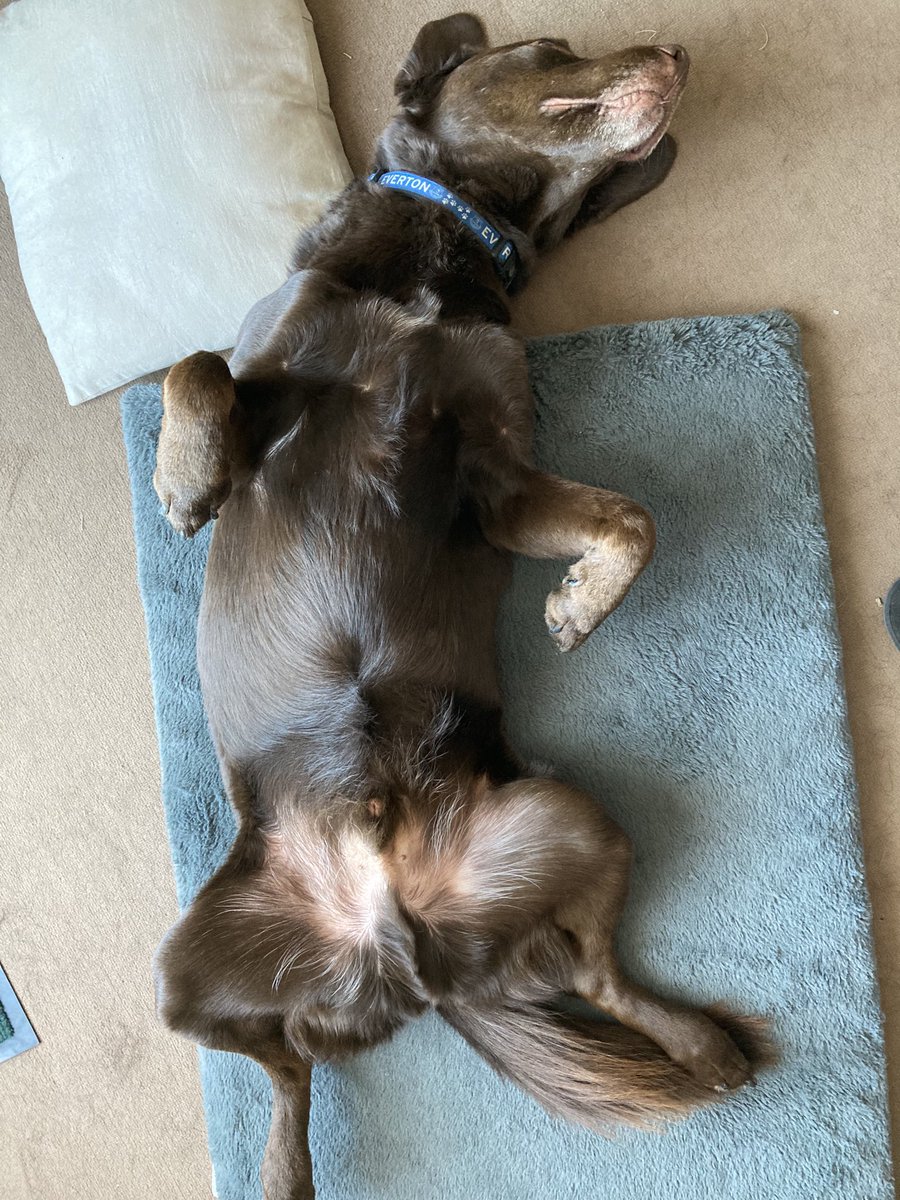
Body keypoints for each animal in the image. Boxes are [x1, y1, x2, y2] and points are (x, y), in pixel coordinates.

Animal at [151, 21, 772, 1200]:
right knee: (288, 1067)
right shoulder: (281, 382)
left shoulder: (497, 479)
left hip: (573, 820)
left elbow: (633, 519)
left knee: (590, 976)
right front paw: (185, 479)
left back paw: (703, 1046)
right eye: (552, 47)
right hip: (176, 973)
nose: (678, 50)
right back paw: (280, 1170)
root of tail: (413, 954)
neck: (440, 262)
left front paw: (579, 607)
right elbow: (194, 364)